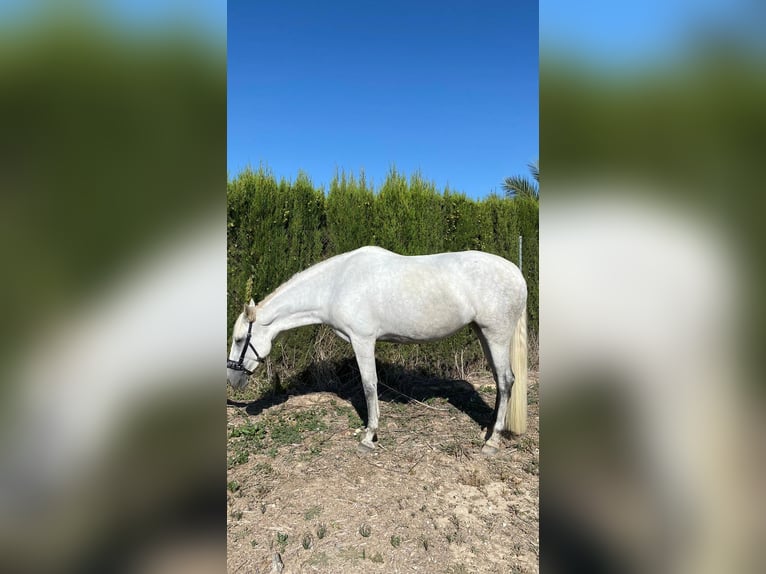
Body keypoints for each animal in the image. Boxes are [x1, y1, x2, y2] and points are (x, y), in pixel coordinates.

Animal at [228, 245, 528, 456]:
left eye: (240, 339)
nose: (233, 379)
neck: (336, 284)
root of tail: (516, 273)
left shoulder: (362, 340)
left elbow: (369, 385)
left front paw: (368, 437)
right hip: (483, 334)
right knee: (499, 381)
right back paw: (488, 429)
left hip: (496, 335)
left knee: (506, 381)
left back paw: (493, 441)